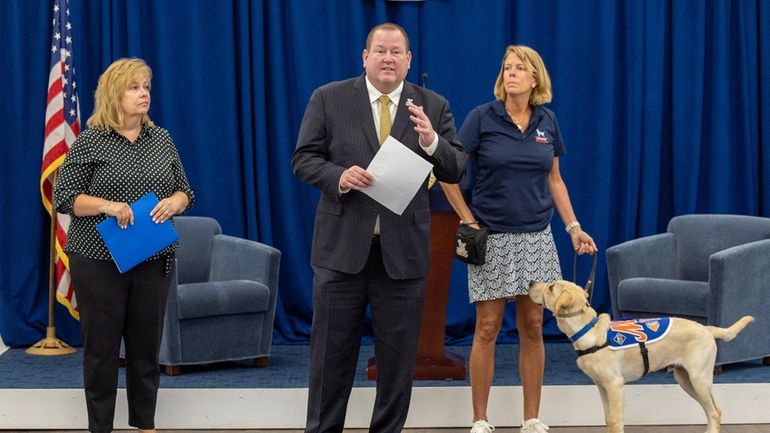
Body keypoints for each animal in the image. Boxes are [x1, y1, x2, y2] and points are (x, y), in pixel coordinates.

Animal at [528, 278, 752, 432]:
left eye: (551, 287)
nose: (530, 282)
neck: (586, 330)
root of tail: (707, 328)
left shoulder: (615, 385)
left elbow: (616, 421)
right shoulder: (601, 386)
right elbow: (608, 419)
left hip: (699, 379)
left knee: (714, 412)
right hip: (685, 379)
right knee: (712, 410)